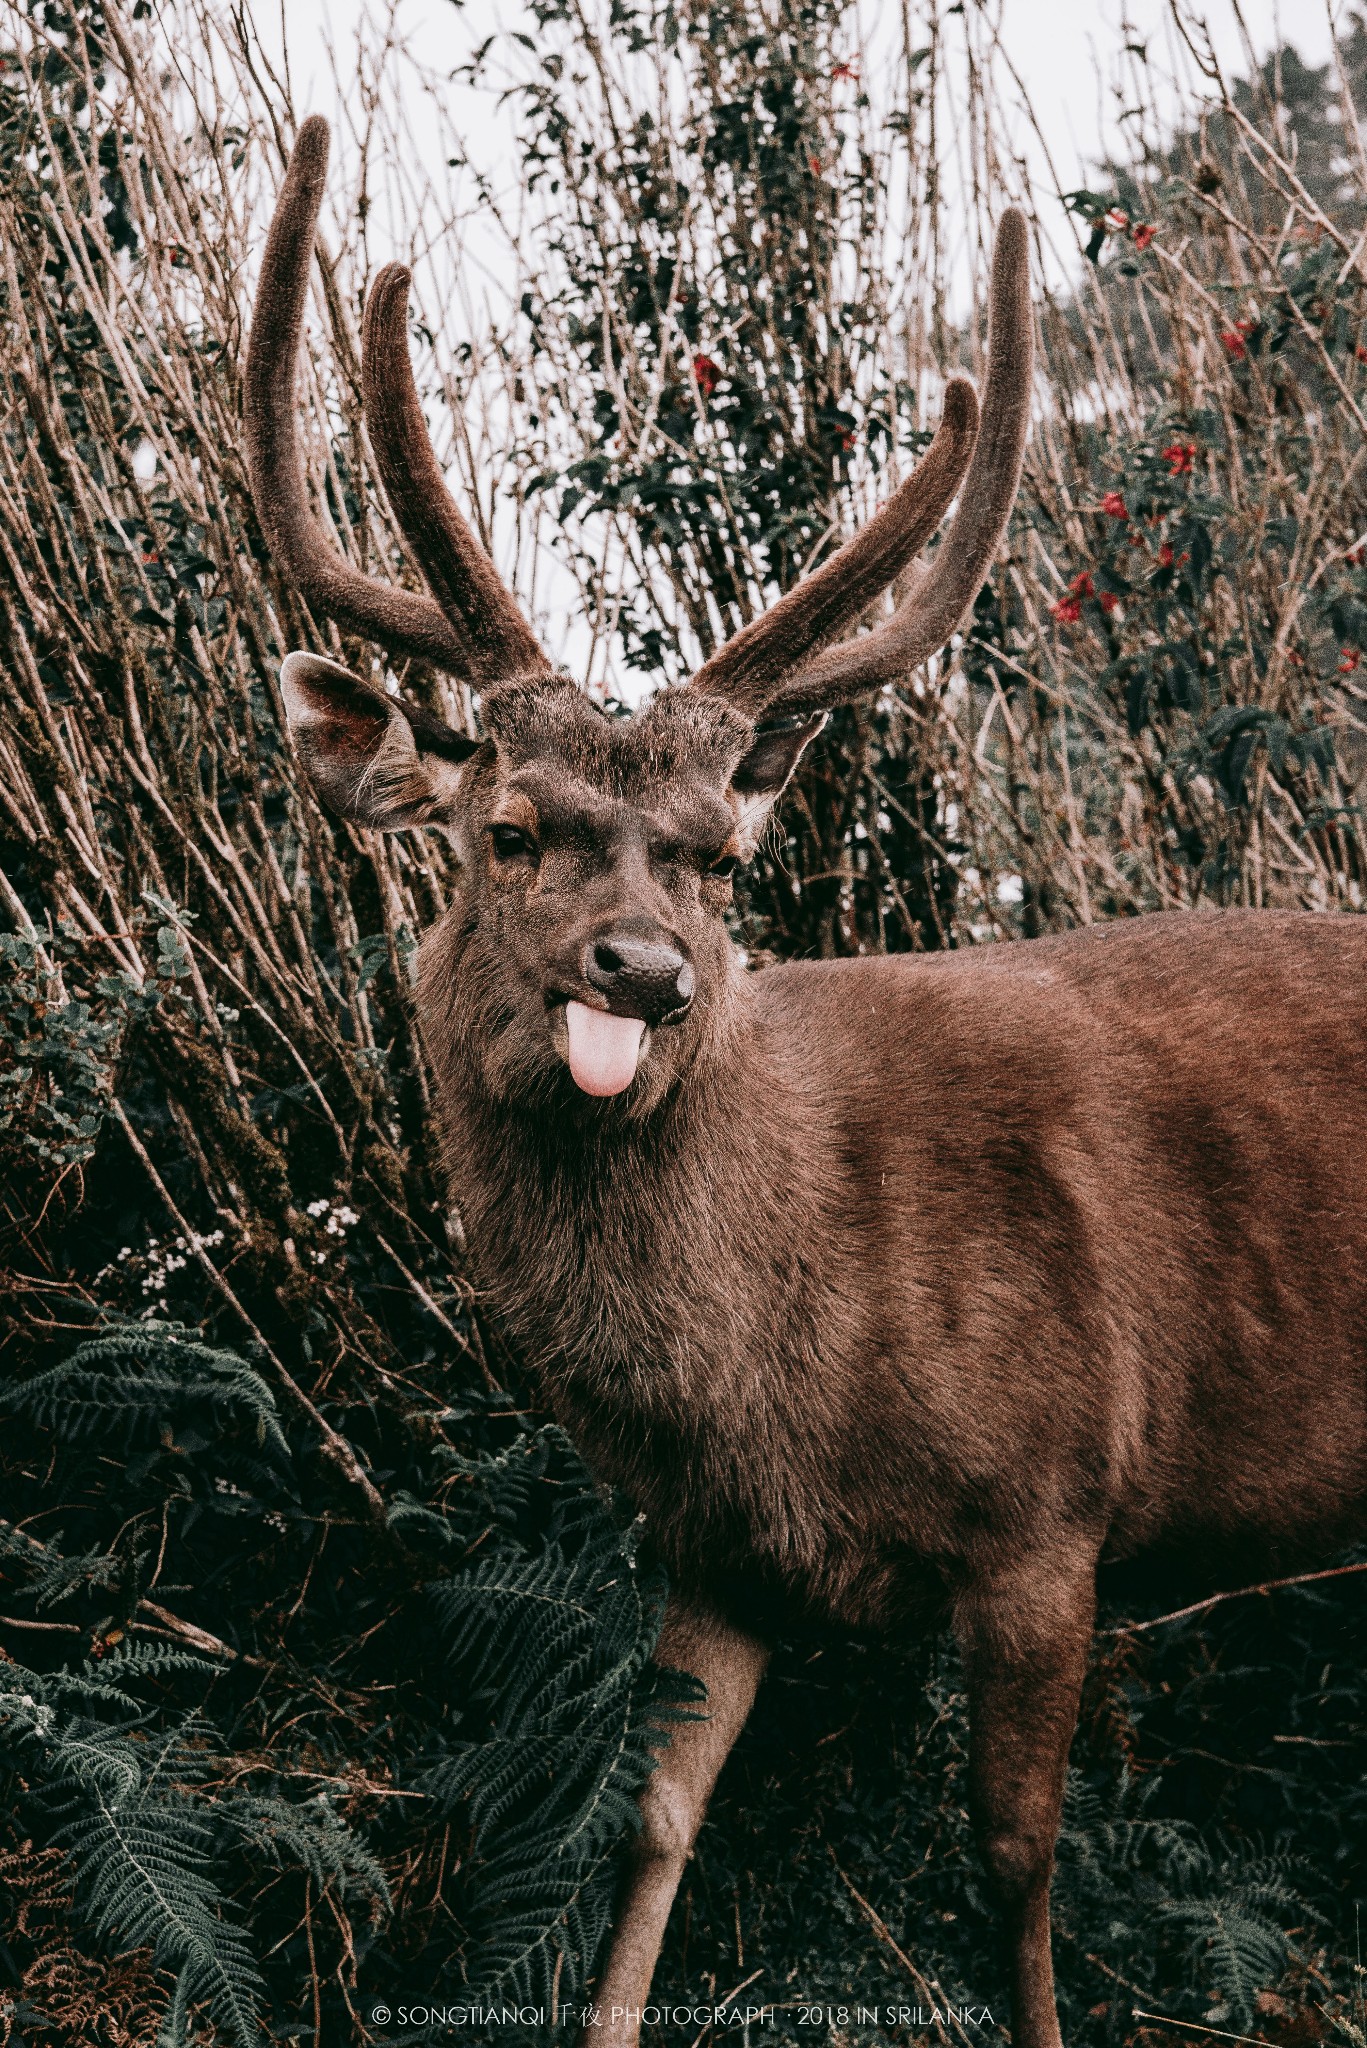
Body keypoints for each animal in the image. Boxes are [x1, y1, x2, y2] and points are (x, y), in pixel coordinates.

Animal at [242, 116, 1367, 2048]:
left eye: (714, 856)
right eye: (508, 830)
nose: (642, 967)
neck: (773, 1370)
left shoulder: (1047, 1506)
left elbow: (1012, 1864)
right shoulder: (707, 1547)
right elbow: (648, 1821)